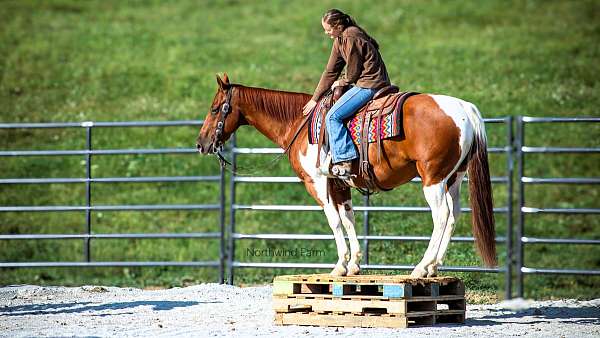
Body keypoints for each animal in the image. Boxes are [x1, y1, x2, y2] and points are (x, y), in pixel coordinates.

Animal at [197, 75, 496, 278]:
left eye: (214, 109)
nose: (201, 144)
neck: (298, 122)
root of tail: (464, 109)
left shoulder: (317, 182)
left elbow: (334, 221)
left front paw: (340, 265)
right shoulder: (339, 183)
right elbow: (348, 218)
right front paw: (354, 264)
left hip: (433, 179)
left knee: (441, 216)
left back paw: (422, 268)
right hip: (453, 178)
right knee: (454, 216)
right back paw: (434, 267)